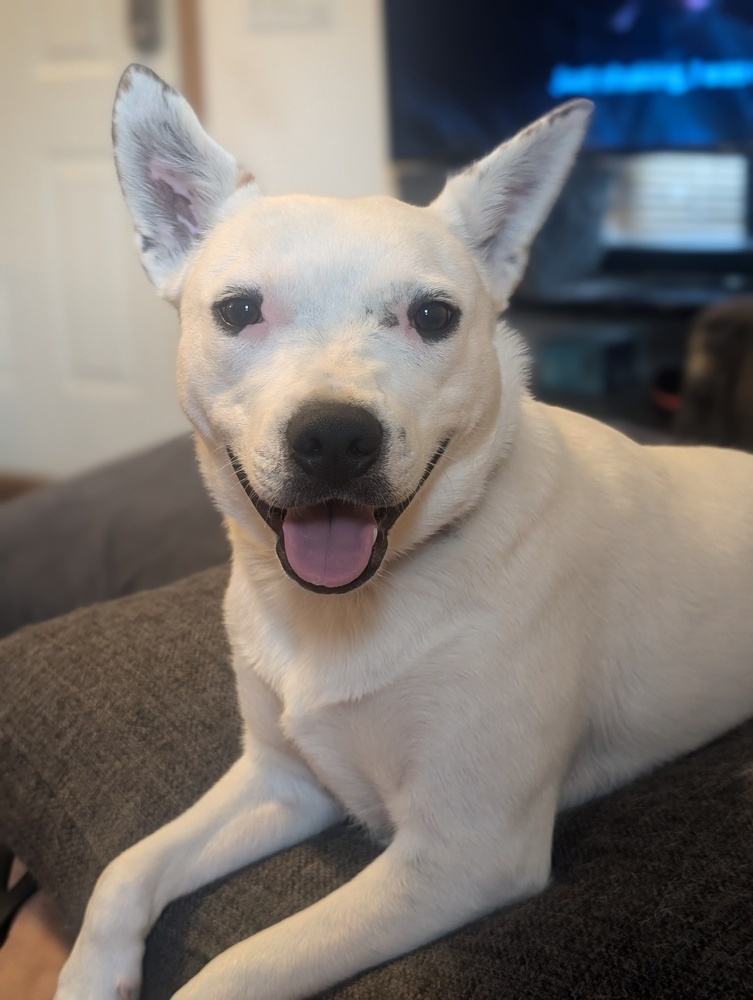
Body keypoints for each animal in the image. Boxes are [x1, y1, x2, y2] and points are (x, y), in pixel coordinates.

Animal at [54, 68, 752, 1000]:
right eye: (238, 310)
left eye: (432, 315)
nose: (334, 439)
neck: (350, 609)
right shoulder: (283, 780)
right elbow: (125, 871)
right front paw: (91, 978)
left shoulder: (462, 853)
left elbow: (237, 968)